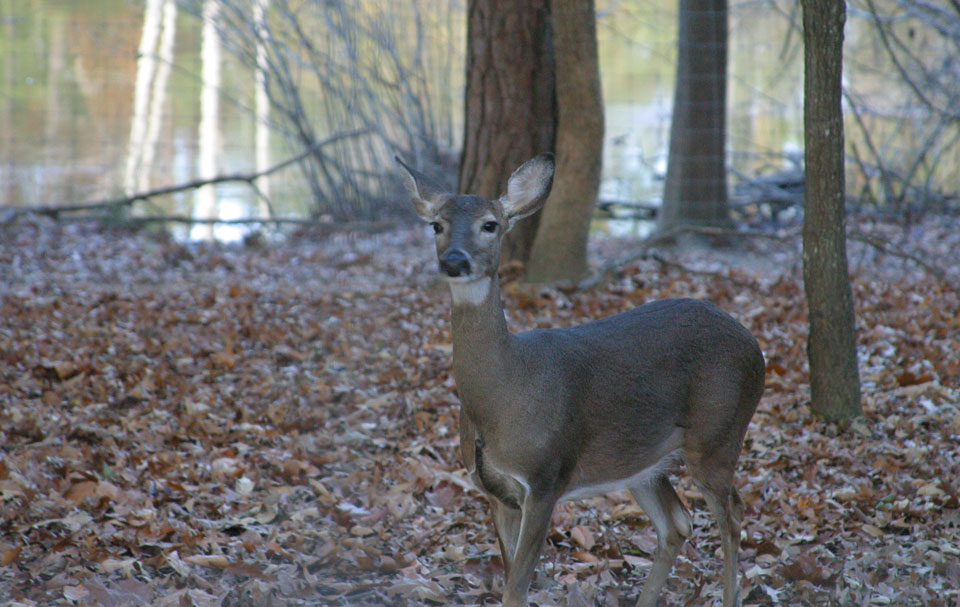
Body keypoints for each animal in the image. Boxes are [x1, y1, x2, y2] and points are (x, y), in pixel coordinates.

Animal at [396, 154, 764, 607]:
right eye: (436, 225)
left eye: (490, 224)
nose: (454, 261)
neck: (502, 395)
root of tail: (754, 345)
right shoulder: (495, 492)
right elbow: (509, 580)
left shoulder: (546, 478)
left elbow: (516, 589)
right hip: (642, 459)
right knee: (677, 522)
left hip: (719, 433)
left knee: (732, 514)